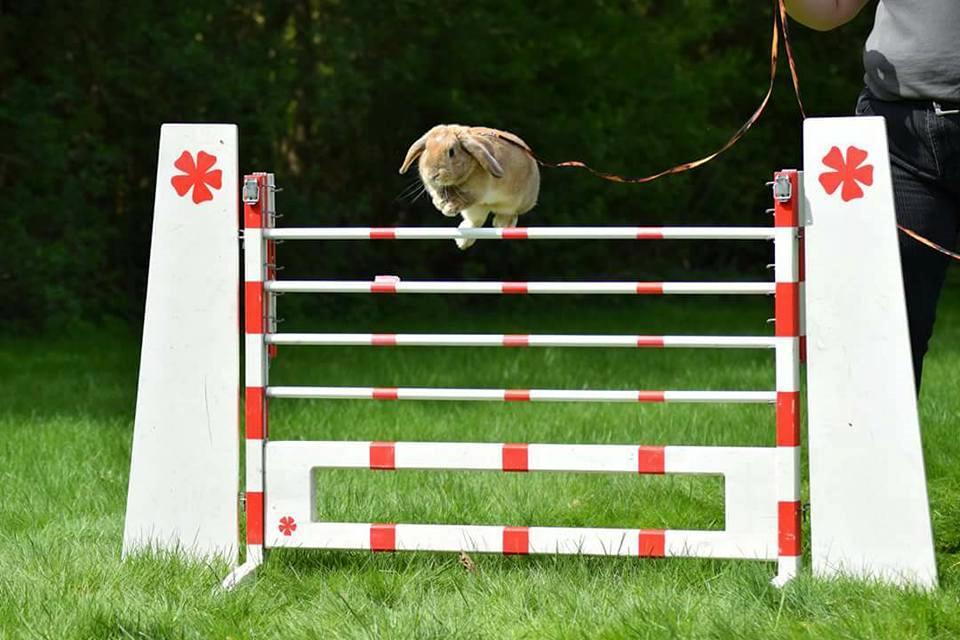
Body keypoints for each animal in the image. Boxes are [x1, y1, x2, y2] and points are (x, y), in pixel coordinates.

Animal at [398, 124, 540, 249]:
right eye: (426, 149)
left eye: (451, 152)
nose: (433, 175)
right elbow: (438, 194)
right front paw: (440, 204)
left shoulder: (474, 193)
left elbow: (462, 200)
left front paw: (448, 209)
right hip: (477, 209)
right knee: (475, 222)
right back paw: (462, 242)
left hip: (515, 203)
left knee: (510, 214)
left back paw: (500, 224)